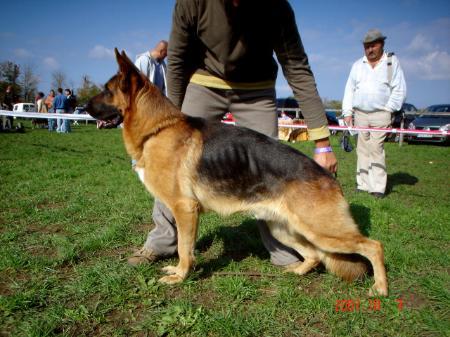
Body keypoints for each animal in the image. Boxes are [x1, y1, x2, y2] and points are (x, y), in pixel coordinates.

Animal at [86, 49, 388, 294]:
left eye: (107, 90)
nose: (85, 107)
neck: (158, 128)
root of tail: (328, 178)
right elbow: (184, 246)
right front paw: (180, 272)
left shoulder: (185, 209)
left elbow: (184, 248)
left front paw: (181, 276)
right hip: (287, 230)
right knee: (314, 256)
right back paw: (296, 272)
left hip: (322, 230)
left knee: (373, 245)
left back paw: (380, 288)